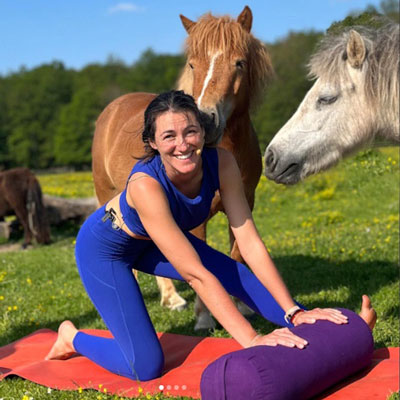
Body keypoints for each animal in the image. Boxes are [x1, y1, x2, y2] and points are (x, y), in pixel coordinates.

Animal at [92, 6, 274, 330]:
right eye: (192, 64)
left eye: (239, 62)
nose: (206, 121)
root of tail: (113, 108)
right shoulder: (194, 221)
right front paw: (204, 318)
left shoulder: (244, 204)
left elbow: (238, 252)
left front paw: (244, 306)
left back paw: (172, 299)